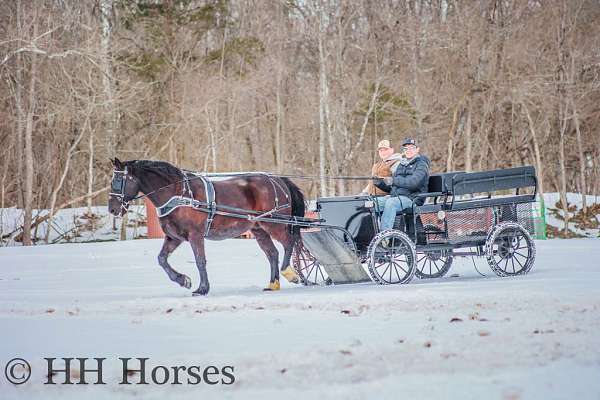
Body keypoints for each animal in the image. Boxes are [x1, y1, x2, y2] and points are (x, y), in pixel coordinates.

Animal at [106, 158, 304, 296]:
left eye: (120, 180)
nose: (112, 209)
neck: (178, 195)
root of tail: (278, 181)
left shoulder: (195, 235)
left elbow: (200, 260)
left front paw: (202, 288)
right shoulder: (174, 237)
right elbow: (161, 259)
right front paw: (183, 280)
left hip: (274, 224)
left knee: (289, 242)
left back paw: (290, 273)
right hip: (259, 229)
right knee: (272, 253)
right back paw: (273, 284)